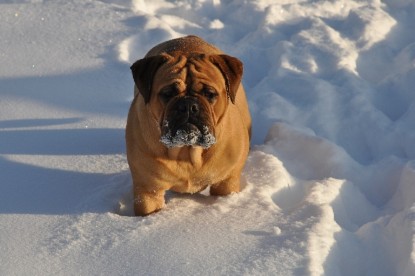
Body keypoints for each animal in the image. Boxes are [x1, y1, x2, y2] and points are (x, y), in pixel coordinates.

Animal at [125, 35, 252, 216]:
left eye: (209, 93)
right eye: (167, 93)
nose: (188, 105)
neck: (187, 152)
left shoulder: (226, 181)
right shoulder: (148, 190)